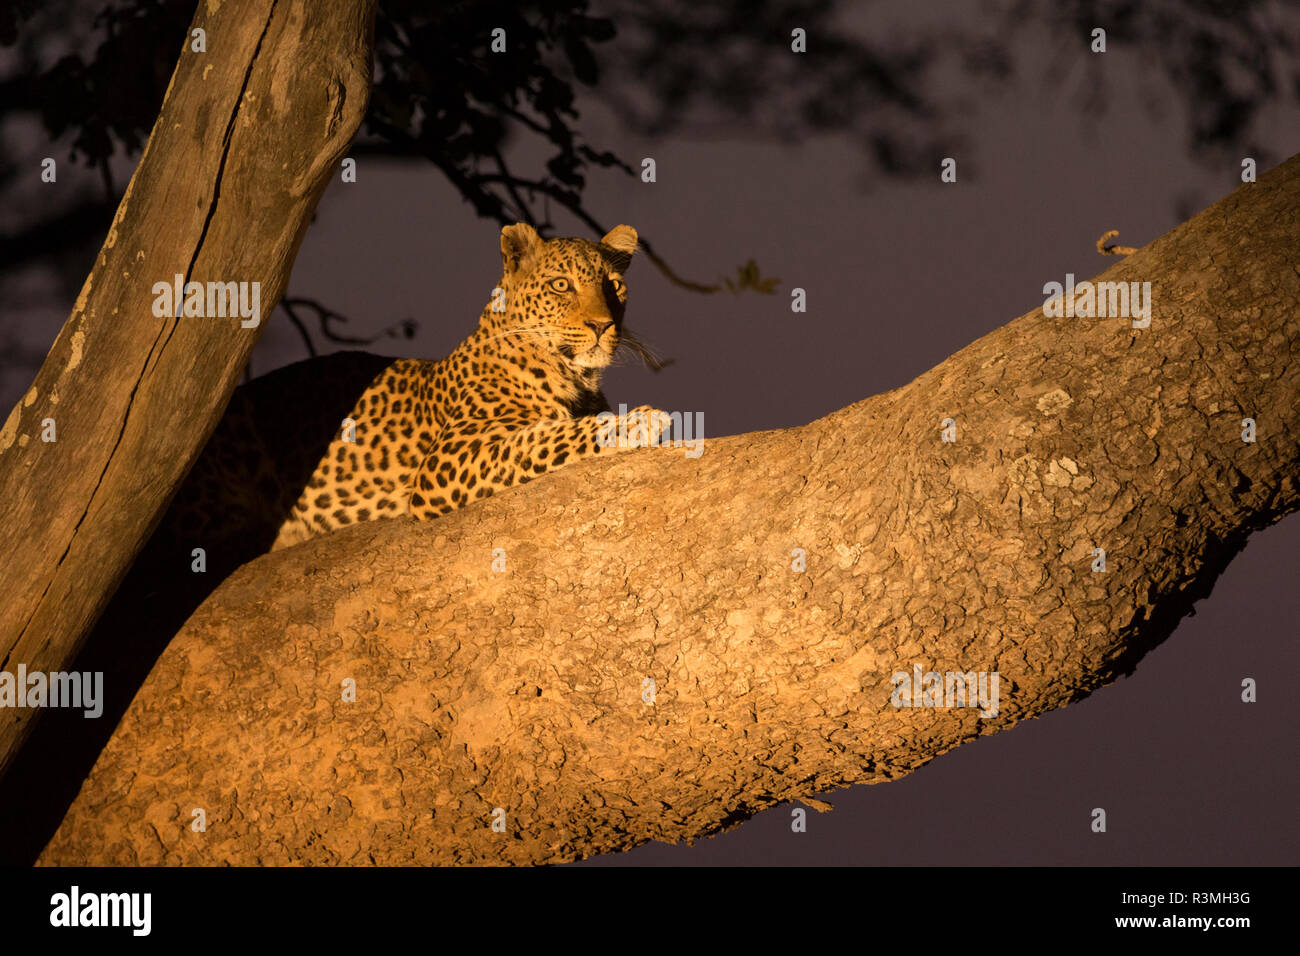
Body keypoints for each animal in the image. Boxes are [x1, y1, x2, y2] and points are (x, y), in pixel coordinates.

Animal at [163, 222, 670, 564]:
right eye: (561, 285)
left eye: (614, 286)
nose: (603, 326)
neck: (575, 376)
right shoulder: (447, 461)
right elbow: (542, 437)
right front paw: (641, 420)